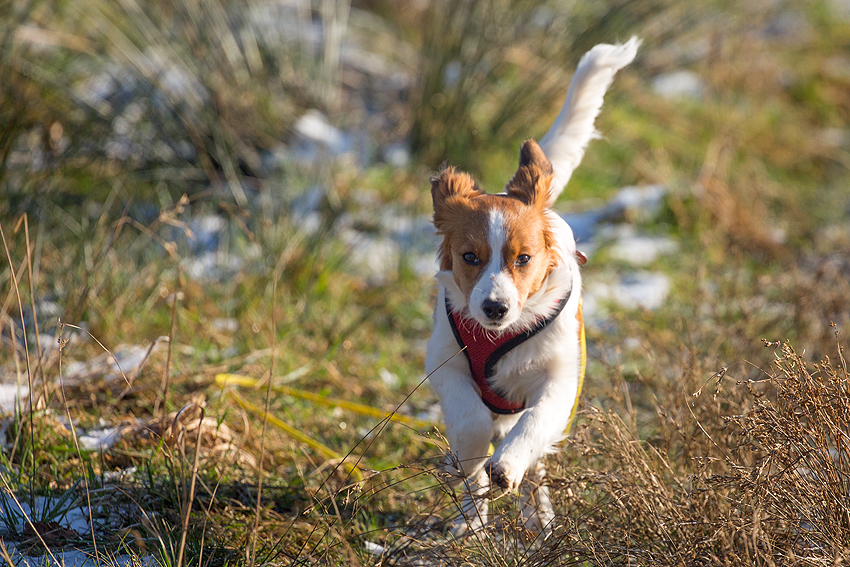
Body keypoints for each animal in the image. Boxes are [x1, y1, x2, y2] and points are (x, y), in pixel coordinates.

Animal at [424, 36, 636, 536]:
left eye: (523, 258)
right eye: (470, 257)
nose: (495, 309)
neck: (500, 336)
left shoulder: (561, 379)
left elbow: (536, 422)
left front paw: (507, 465)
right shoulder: (444, 361)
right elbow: (470, 423)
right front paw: (474, 467)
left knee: (537, 464)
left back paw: (538, 521)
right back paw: (472, 521)